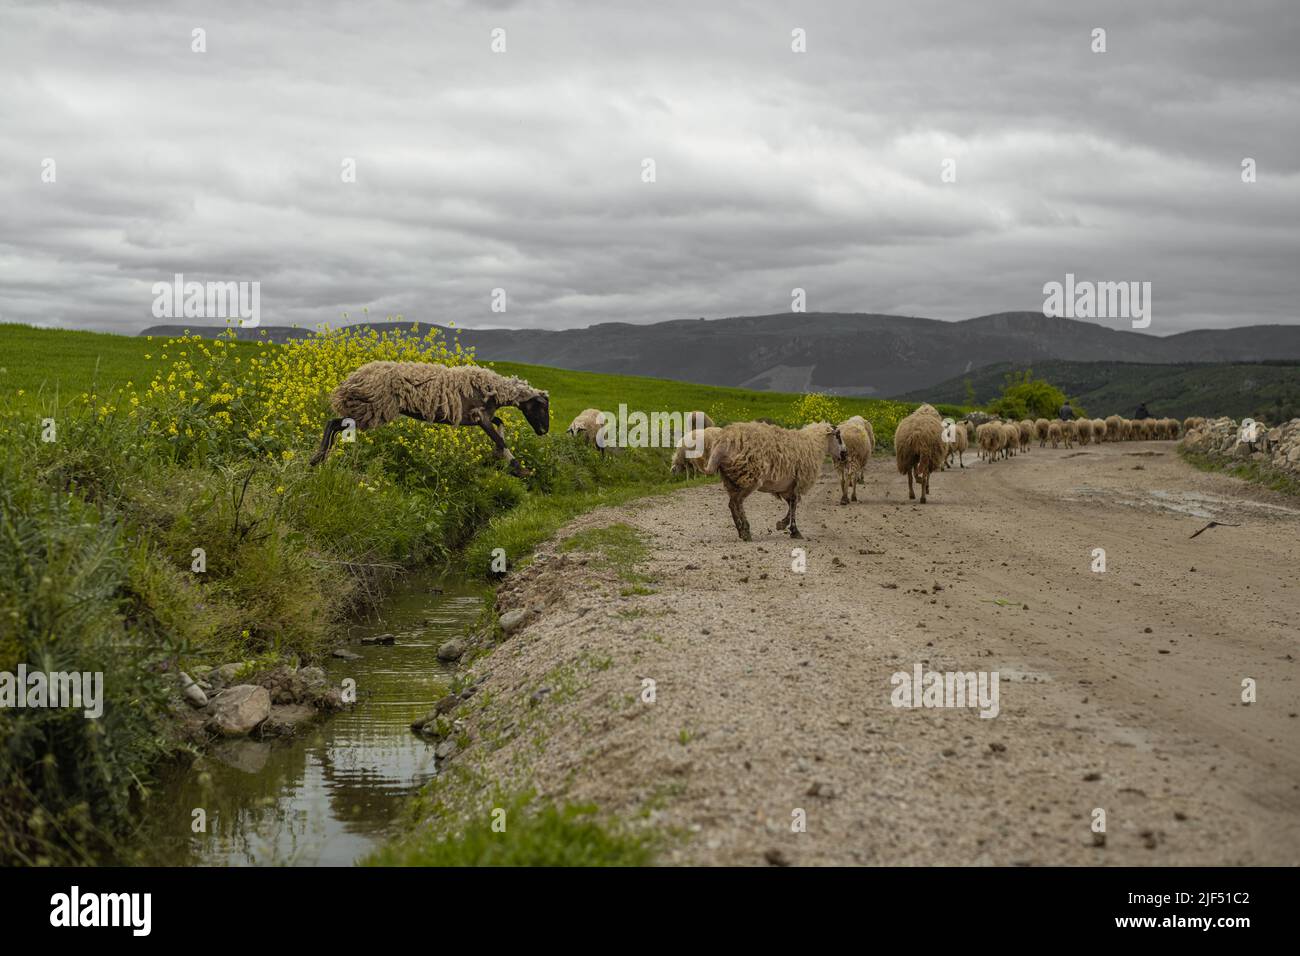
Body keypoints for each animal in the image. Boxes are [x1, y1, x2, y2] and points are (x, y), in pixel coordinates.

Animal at [312, 358, 551, 476]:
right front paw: (519, 469)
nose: (544, 431)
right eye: (541, 408)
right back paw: (318, 458)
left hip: (366, 408)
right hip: (371, 409)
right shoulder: (479, 416)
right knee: (333, 423)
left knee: (335, 424)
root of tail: (353, 378)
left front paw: (502, 457)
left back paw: (320, 459)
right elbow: (500, 440)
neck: (496, 391)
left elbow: (500, 427)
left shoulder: (480, 417)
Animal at [707, 421, 847, 541]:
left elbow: (793, 503)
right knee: (738, 502)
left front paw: (783, 525)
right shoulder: (797, 482)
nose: (845, 454)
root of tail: (723, 440)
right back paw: (746, 531)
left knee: (732, 504)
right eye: (838, 436)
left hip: (731, 479)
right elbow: (794, 504)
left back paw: (740, 531)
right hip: (750, 476)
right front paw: (793, 530)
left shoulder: (787, 486)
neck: (814, 444)